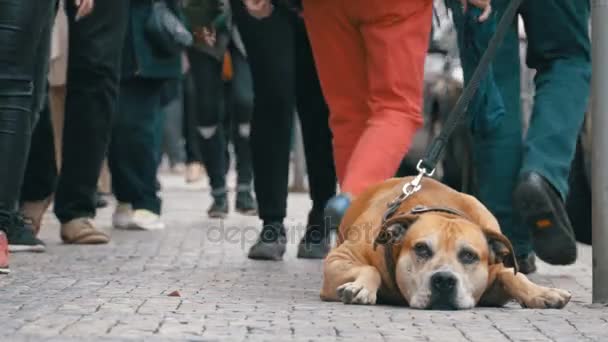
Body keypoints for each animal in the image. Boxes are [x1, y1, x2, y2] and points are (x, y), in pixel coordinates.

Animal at [320, 176, 572, 310]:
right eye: (421, 249)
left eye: (469, 255)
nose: (444, 280)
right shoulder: (338, 259)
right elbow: (370, 269)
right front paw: (360, 287)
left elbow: (511, 275)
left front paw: (542, 293)